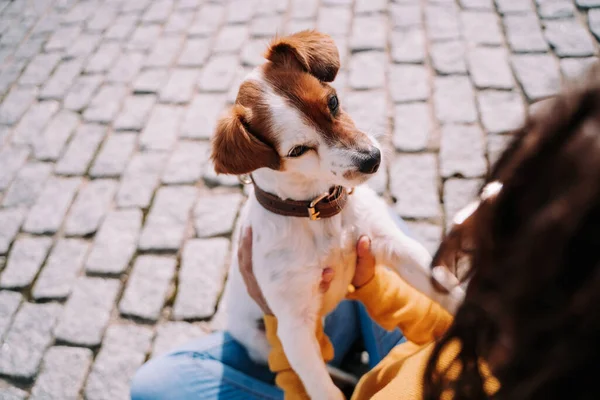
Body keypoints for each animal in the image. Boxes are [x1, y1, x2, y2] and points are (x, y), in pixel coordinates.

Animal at [211, 30, 464, 396]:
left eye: (332, 102)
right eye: (298, 150)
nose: (372, 159)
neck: (317, 213)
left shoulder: (394, 246)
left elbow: (445, 286)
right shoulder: (293, 325)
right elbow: (320, 386)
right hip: (258, 340)